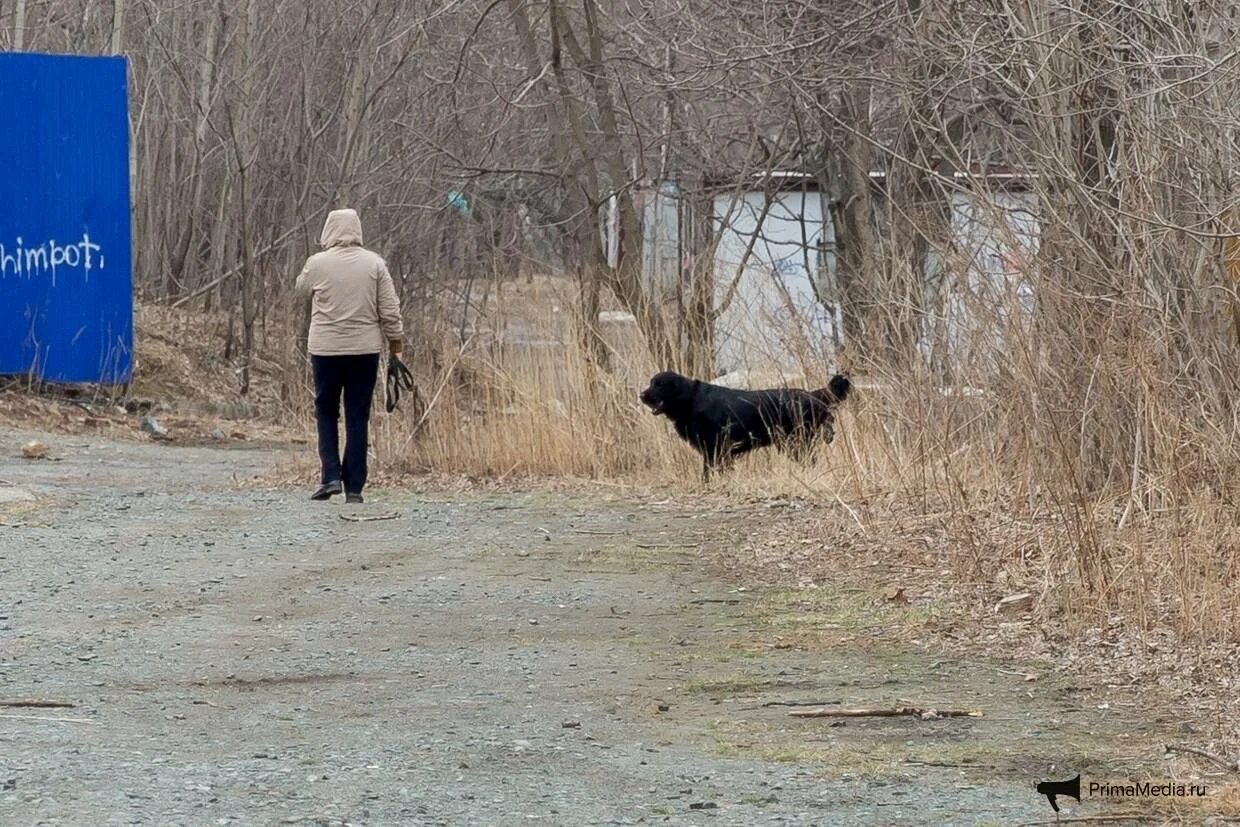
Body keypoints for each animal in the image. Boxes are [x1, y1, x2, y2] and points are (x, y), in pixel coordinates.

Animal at [639, 371, 853, 481]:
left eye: (659, 384)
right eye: (651, 382)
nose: (641, 395)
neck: (691, 400)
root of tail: (812, 395)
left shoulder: (715, 447)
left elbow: (709, 472)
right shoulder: (715, 450)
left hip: (797, 442)